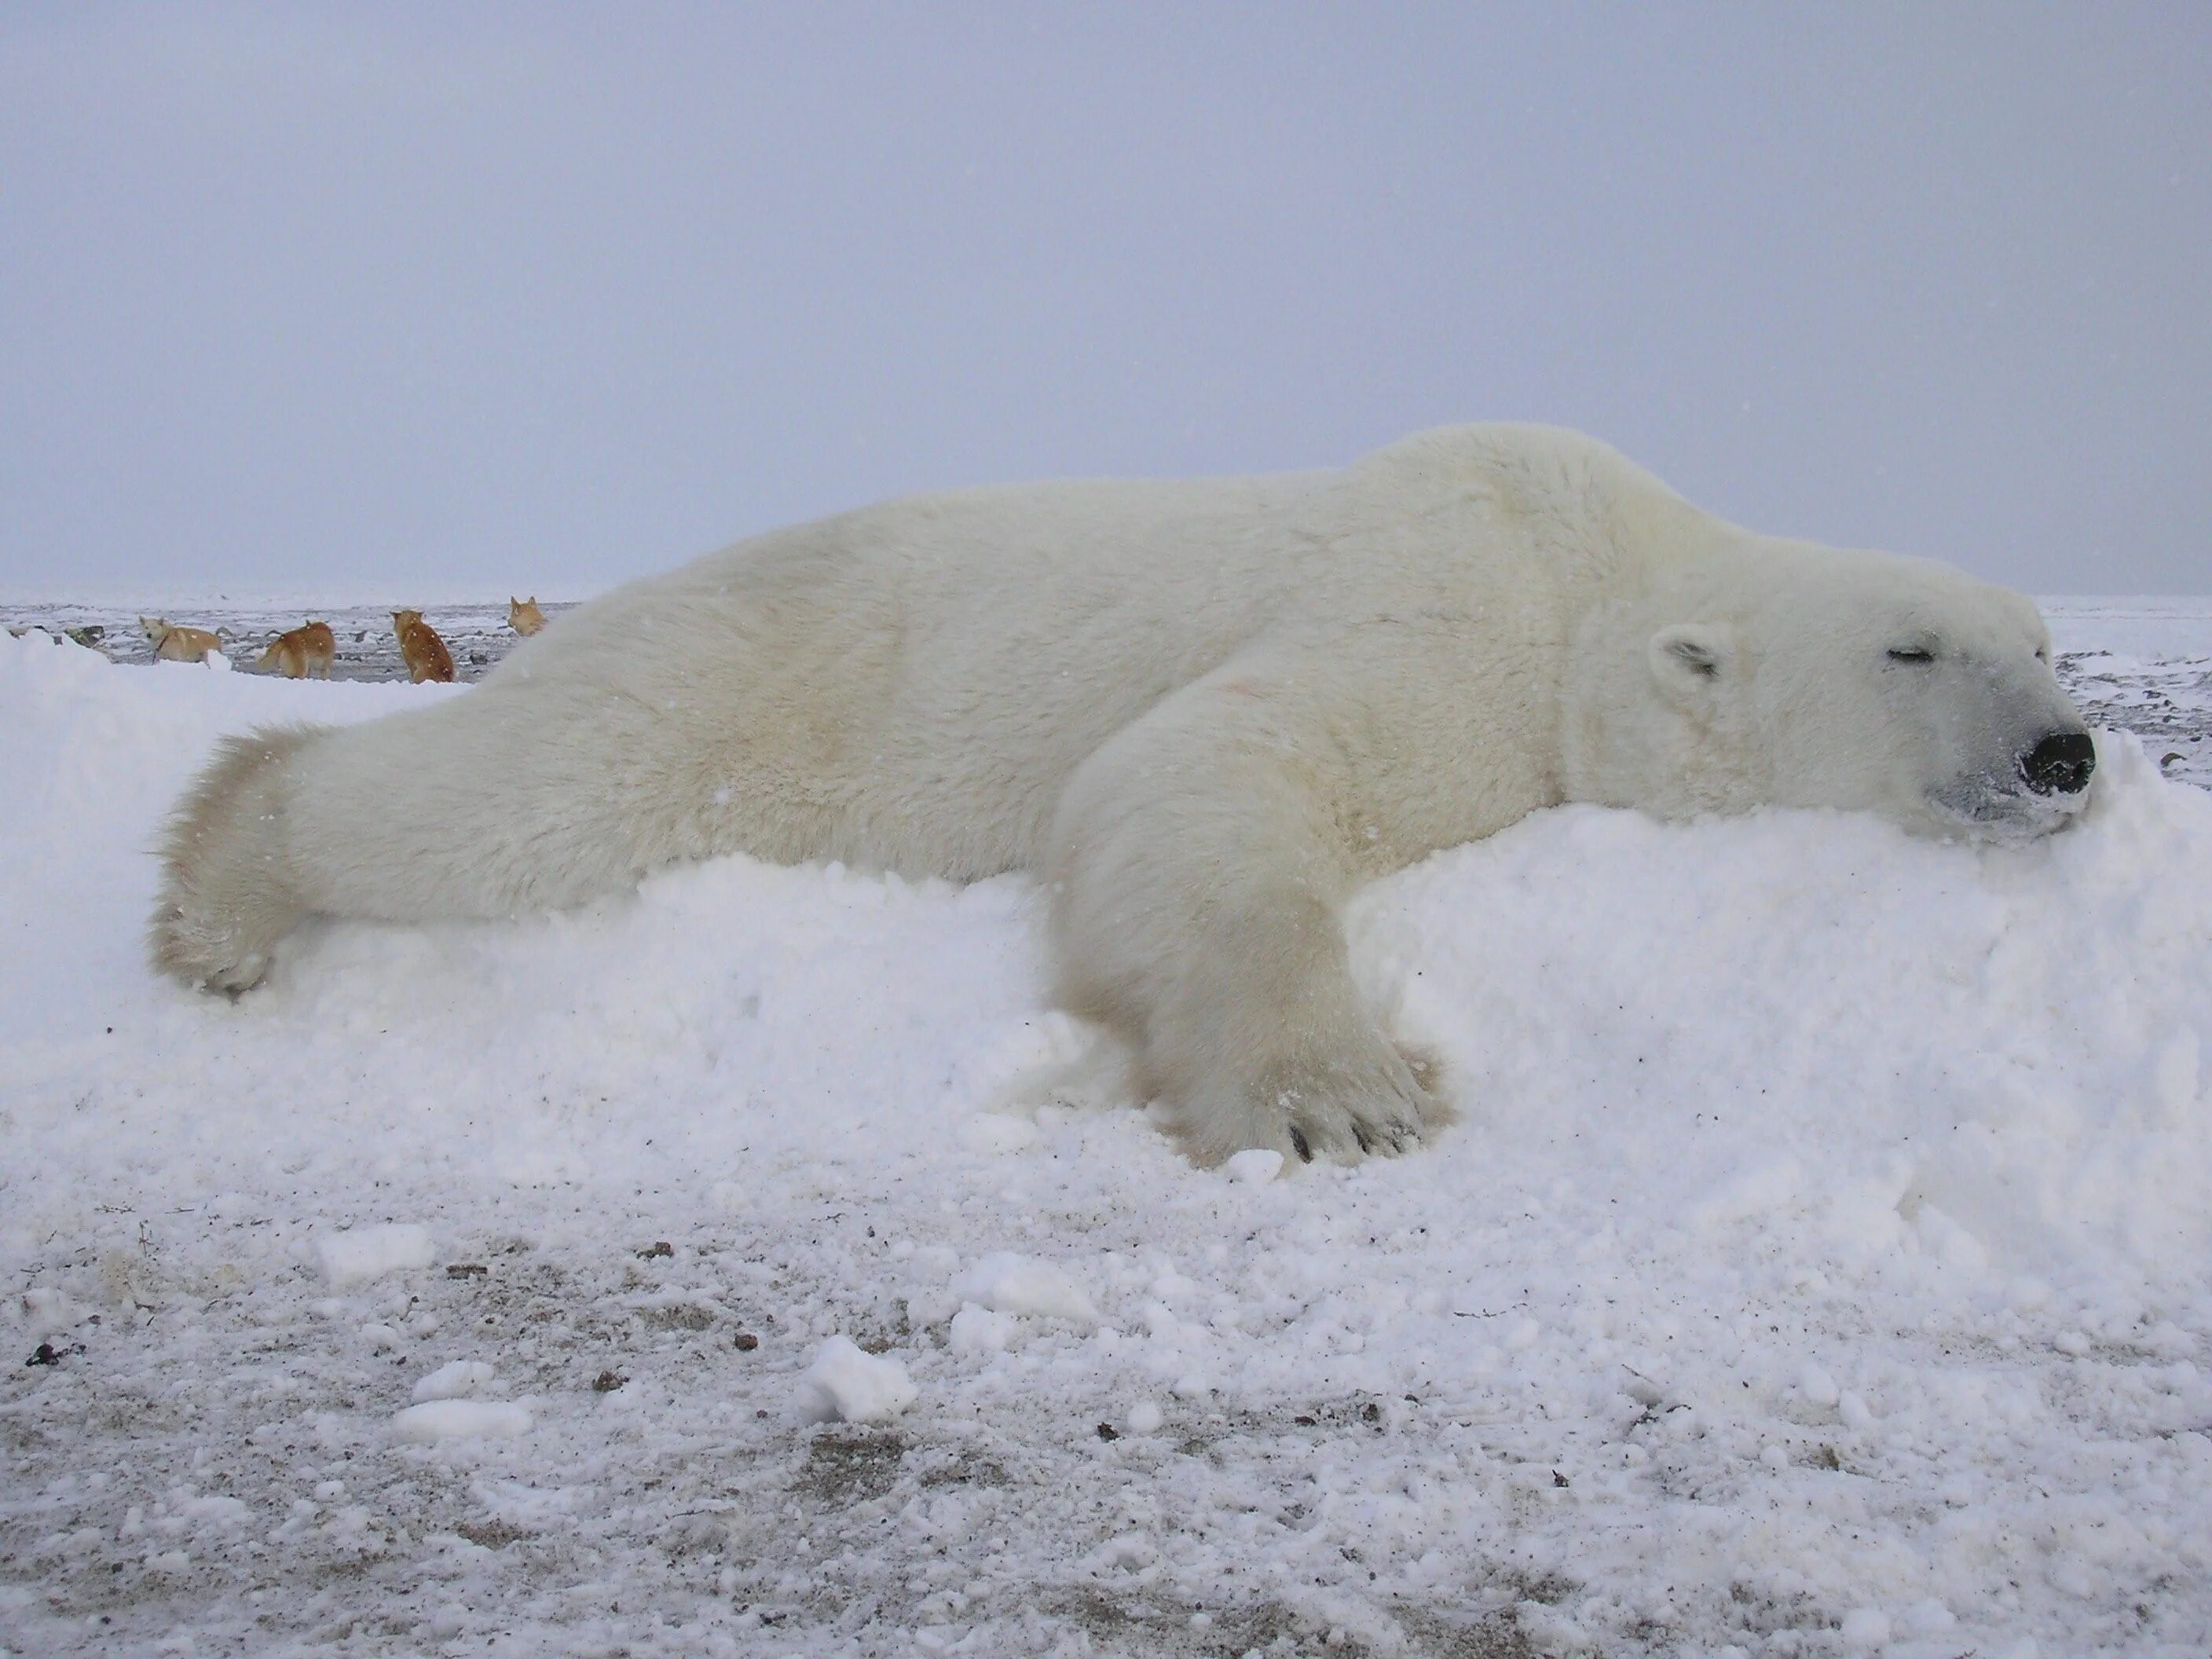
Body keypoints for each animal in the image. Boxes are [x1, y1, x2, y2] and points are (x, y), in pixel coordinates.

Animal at [151, 422, 2088, 1159]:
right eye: (1912, 648)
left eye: (2045, 640)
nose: (2065, 752)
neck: (1597, 565)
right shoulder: (1458, 617)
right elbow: (1209, 763)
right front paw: (1337, 1099)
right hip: (730, 691)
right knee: (525, 797)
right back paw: (225, 889)